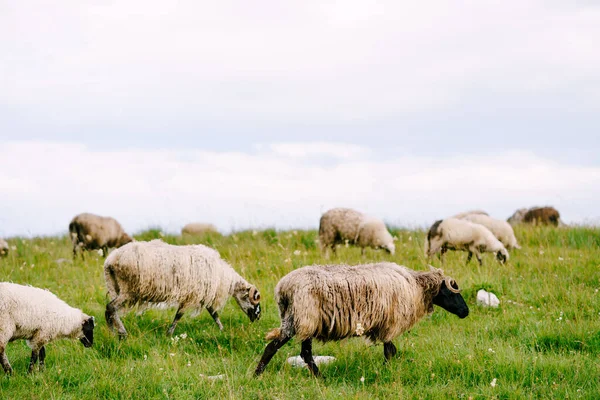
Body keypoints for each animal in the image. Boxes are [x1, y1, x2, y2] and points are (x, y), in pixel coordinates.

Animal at [103, 239, 262, 336]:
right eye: (252, 299)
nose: (258, 317)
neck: (223, 276)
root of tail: (110, 260)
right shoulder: (192, 294)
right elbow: (179, 315)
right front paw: (169, 333)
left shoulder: (202, 294)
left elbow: (214, 314)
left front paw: (222, 330)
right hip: (128, 290)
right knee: (110, 307)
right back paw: (121, 333)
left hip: (117, 286)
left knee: (110, 310)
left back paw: (113, 332)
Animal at [253, 264, 468, 376]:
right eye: (451, 292)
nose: (466, 312)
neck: (416, 286)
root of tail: (283, 287)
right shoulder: (389, 324)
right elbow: (390, 351)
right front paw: (385, 371)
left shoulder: (384, 324)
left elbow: (391, 350)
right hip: (305, 319)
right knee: (299, 352)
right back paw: (319, 378)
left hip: (295, 320)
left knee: (280, 348)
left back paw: (258, 375)